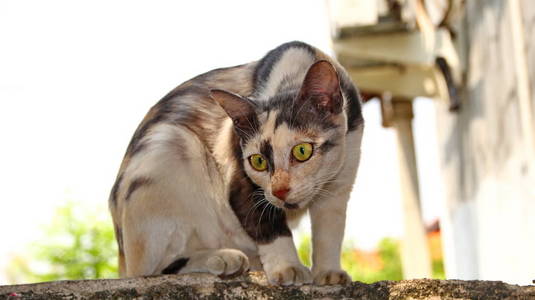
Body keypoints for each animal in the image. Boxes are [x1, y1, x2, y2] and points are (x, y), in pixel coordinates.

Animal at [111, 40, 366, 286]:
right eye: (258, 162)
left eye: (302, 151)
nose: (280, 191)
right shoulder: (238, 173)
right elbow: (266, 224)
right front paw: (287, 268)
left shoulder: (340, 183)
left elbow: (330, 230)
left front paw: (329, 273)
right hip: (165, 146)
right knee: (153, 270)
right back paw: (223, 258)